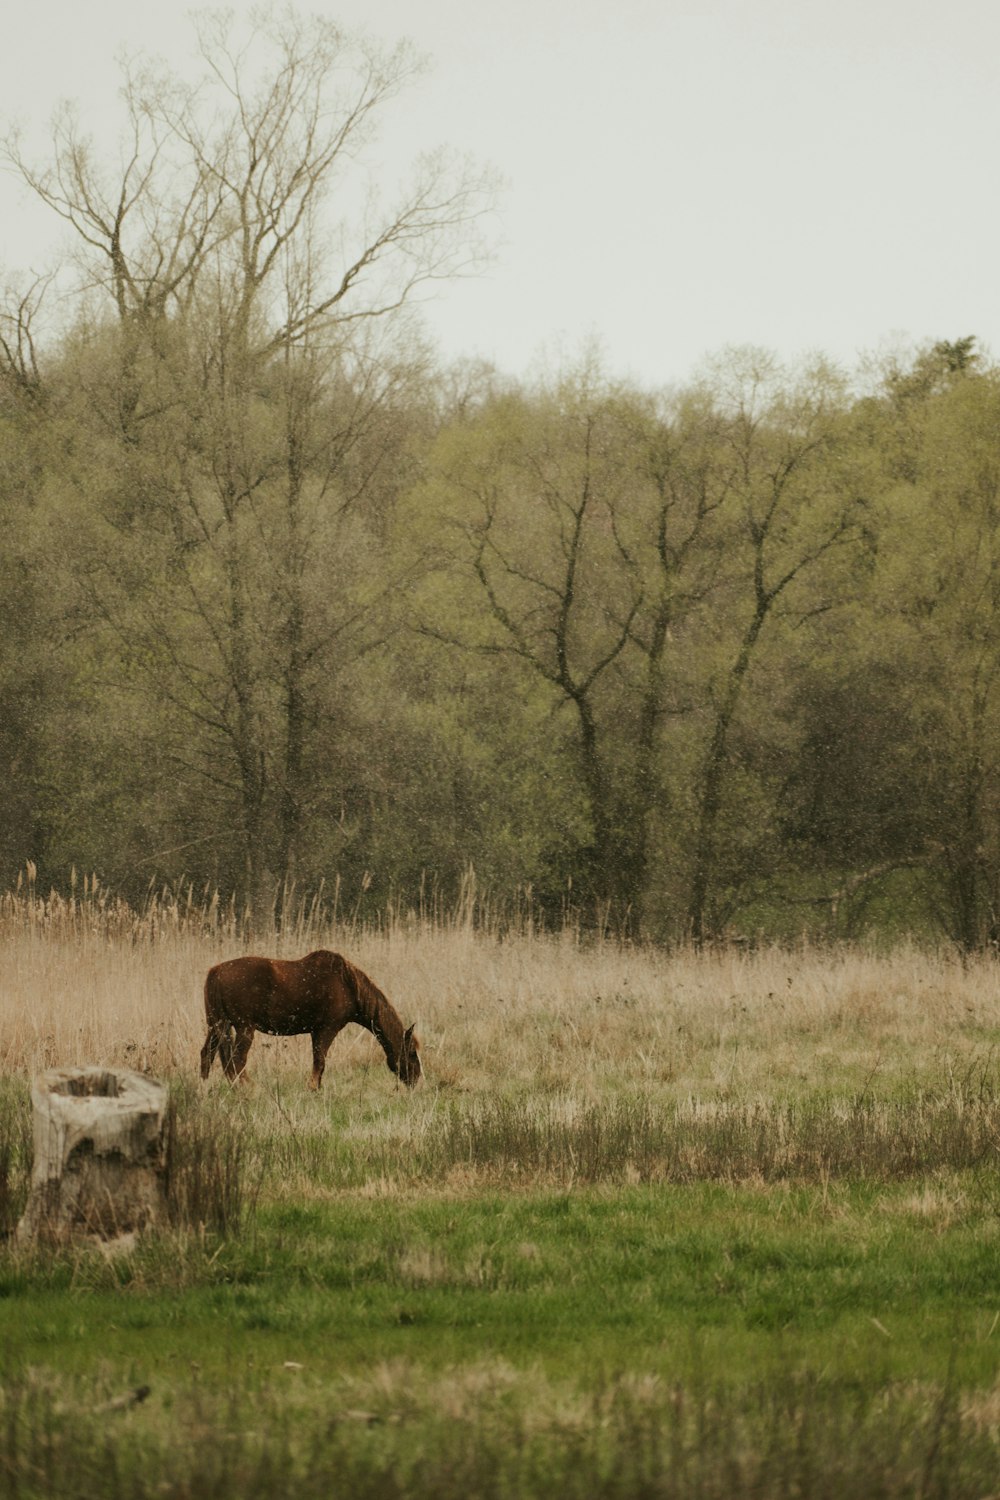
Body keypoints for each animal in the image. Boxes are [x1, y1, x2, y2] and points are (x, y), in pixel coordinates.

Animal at [199, 948, 422, 1092]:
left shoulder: (316, 1032)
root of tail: (215, 972)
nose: (417, 1080)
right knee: (237, 1059)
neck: (348, 985)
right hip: (244, 1028)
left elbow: (319, 1061)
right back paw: (248, 1088)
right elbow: (320, 1060)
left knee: (207, 1054)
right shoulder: (327, 1029)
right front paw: (313, 1088)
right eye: (411, 1052)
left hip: (217, 1025)